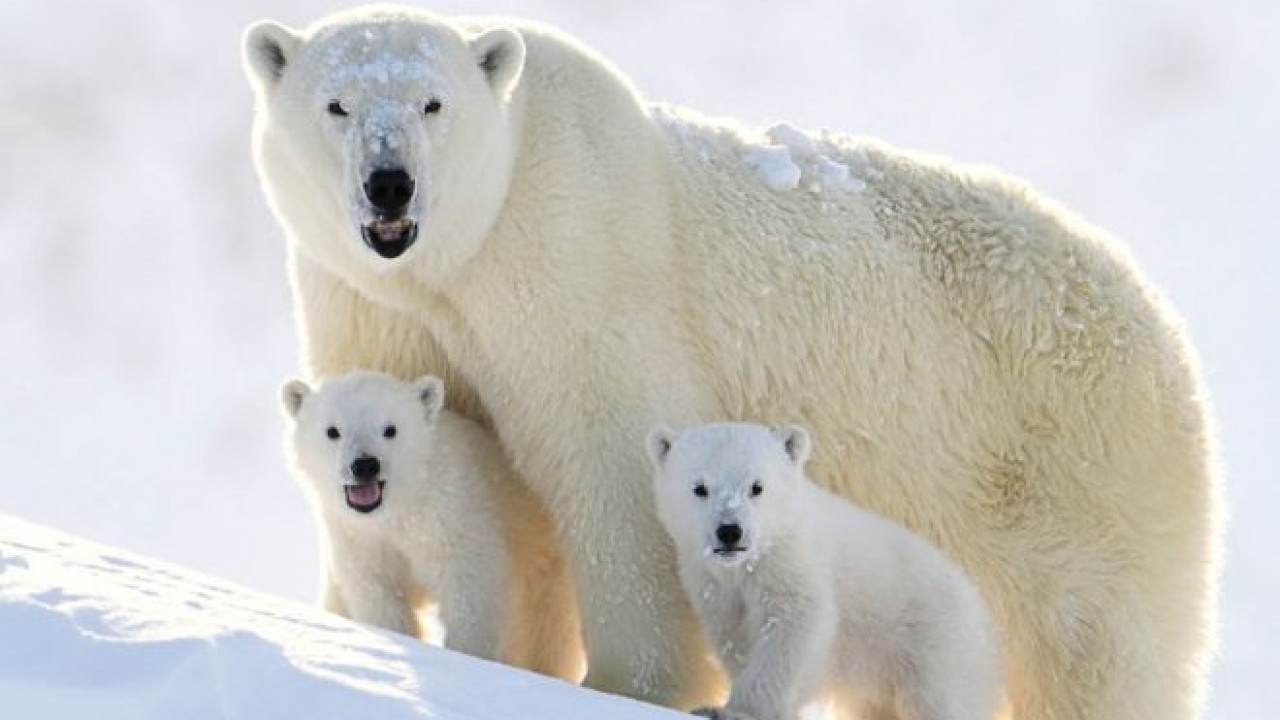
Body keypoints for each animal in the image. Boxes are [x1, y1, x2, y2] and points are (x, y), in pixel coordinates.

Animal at [282, 368, 583, 676]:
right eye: (333, 431)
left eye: (390, 429)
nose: (365, 465)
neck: (405, 504)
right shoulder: (358, 537)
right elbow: (377, 591)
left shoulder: (454, 515)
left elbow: (469, 591)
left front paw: (467, 656)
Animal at [650, 420, 998, 717]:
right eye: (699, 487)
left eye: (757, 486)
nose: (730, 532)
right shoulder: (713, 585)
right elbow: (734, 636)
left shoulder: (794, 563)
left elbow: (792, 630)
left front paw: (735, 710)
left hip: (934, 642)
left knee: (941, 701)